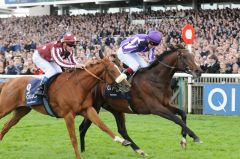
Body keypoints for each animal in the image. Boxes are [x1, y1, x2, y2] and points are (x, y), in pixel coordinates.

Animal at [0, 57, 131, 159]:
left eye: (120, 67)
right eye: (113, 70)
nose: (127, 85)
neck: (78, 86)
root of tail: (7, 82)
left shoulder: (87, 109)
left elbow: (102, 125)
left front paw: (122, 141)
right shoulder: (68, 115)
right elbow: (73, 139)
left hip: (21, 111)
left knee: (6, 126)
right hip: (5, 107)